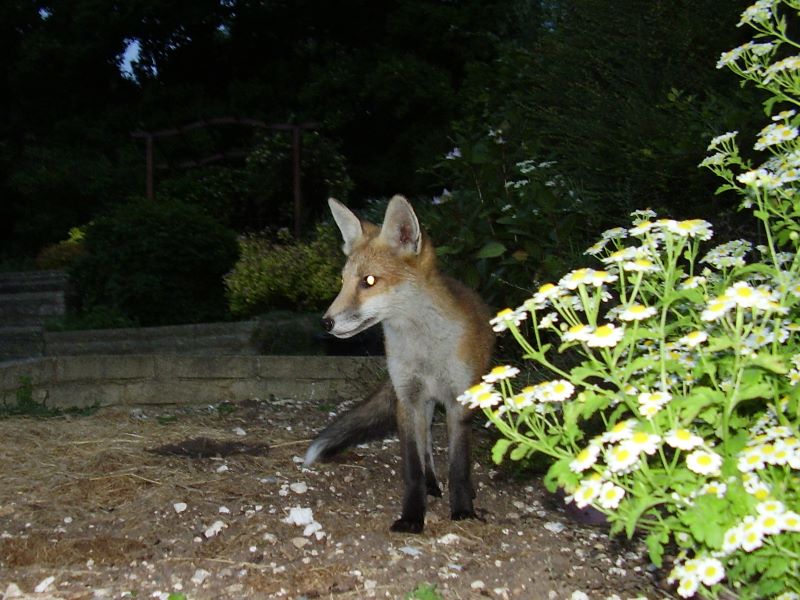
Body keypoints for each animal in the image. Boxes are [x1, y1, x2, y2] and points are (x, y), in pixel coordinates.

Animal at [304, 195, 494, 533]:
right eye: (343, 280)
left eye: (369, 281)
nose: (326, 323)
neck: (425, 352)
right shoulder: (408, 399)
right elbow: (413, 468)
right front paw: (412, 517)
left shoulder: (457, 401)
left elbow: (458, 466)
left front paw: (462, 510)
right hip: (424, 405)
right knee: (427, 445)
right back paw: (432, 485)